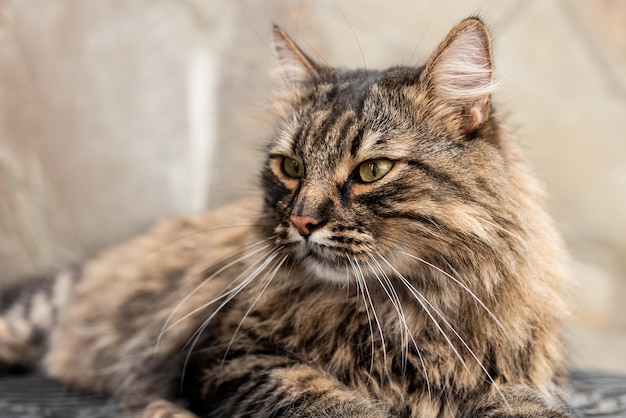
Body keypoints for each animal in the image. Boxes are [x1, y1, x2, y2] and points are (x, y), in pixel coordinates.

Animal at [0, 17, 572, 418]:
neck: (402, 310)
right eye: (291, 167)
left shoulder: (521, 376)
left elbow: (526, 406)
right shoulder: (230, 356)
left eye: (372, 170)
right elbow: (325, 400)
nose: (301, 222)